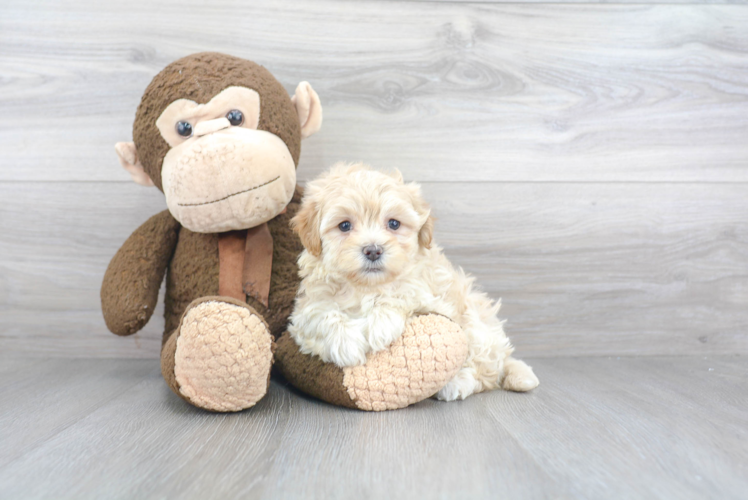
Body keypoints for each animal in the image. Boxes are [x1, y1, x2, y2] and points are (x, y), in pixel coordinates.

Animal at [286, 162, 536, 400]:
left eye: (394, 224)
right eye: (345, 225)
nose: (373, 250)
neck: (366, 287)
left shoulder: (434, 297)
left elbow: (402, 294)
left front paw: (380, 325)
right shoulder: (305, 311)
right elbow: (322, 315)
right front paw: (347, 344)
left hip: (476, 323)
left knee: (486, 371)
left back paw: (458, 382)